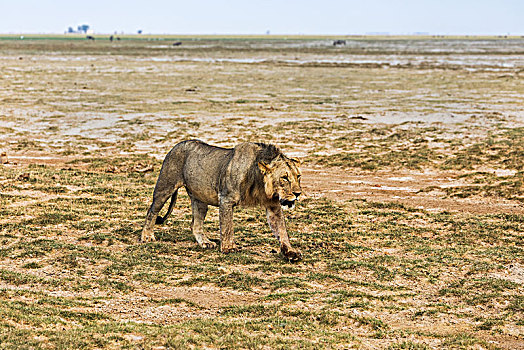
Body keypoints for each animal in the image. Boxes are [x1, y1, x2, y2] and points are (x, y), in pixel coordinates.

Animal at [141, 141, 302, 262]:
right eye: (284, 178)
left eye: (298, 176)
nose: (298, 193)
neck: (259, 182)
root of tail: (176, 145)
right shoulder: (226, 198)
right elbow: (227, 226)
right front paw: (228, 248)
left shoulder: (273, 205)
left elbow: (282, 230)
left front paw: (291, 252)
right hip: (165, 186)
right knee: (152, 211)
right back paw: (147, 236)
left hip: (200, 199)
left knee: (195, 224)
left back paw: (205, 242)